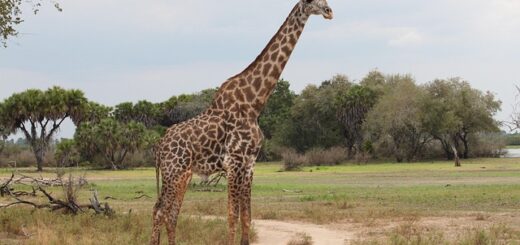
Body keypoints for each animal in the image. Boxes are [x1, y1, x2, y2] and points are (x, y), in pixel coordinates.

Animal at [148, 0, 334, 244]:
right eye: (311, 2)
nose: (329, 11)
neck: (254, 103)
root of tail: (159, 145)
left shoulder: (249, 165)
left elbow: (246, 216)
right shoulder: (234, 163)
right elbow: (232, 216)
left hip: (179, 174)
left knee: (168, 213)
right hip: (174, 170)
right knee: (160, 211)